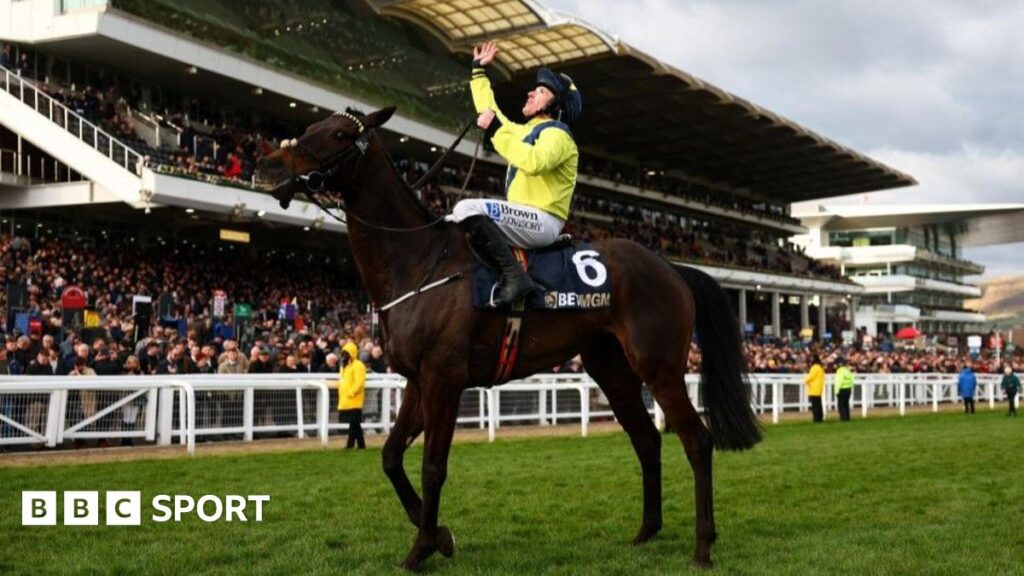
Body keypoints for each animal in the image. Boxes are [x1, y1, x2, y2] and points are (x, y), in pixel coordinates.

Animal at [254, 107, 761, 569]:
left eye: (339, 135)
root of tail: (672, 266)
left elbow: (433, 466)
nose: (267, 167)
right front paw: (439, 536)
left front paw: (420, 550)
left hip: (660, 366)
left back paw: (702, 547)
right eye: (309, 127)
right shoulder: (418, 380)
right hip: (612, 370)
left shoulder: (444, 379)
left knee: (697, 440)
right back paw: (646, 531)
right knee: (647, 440)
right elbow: (392, 458)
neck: (419, 261)